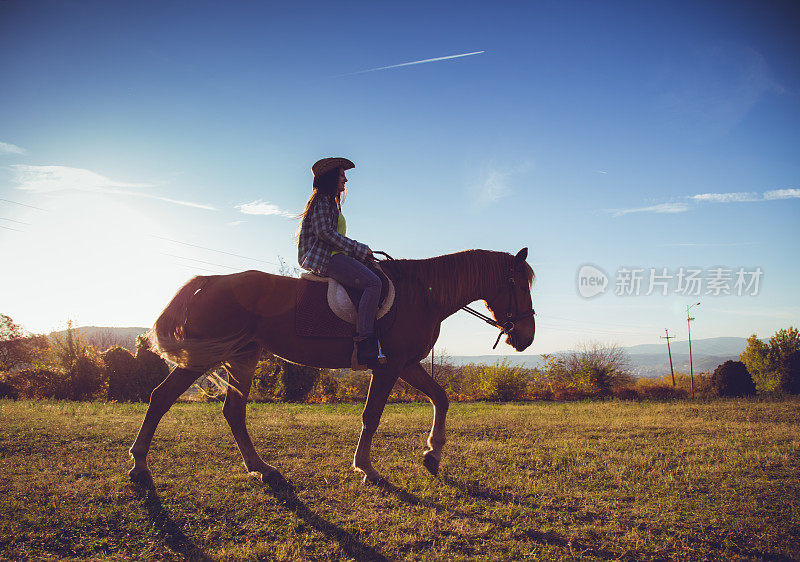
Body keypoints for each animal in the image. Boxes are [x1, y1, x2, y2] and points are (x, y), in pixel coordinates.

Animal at [128, 247, 536, 484]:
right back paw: (140, 465)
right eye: (519, 285)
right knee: (161, 398)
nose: (527, 337)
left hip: (242, 356)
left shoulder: (406, 364)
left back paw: (259, 467)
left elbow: (441, 398)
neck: (421, 295)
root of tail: (210, 280)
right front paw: (366, 467)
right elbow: (372, 415)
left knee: (233, 411)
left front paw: (432, 455)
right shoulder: (389, 367)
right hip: (206, 357)